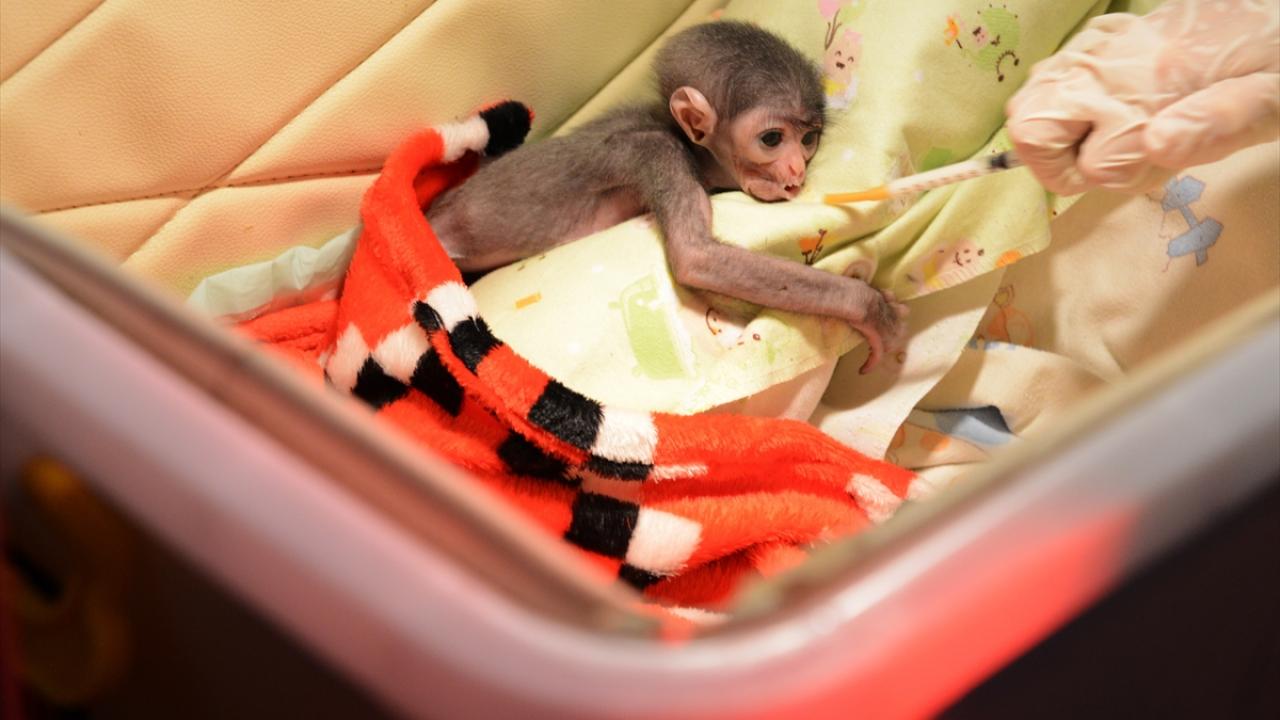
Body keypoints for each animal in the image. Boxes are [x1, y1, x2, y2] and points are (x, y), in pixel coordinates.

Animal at [427, 21, 907, 372]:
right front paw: (870, 309)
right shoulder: (658, 152)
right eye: (772, 139)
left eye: (808, 139)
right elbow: (697, 257)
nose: (795, 170)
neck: (676, 135)